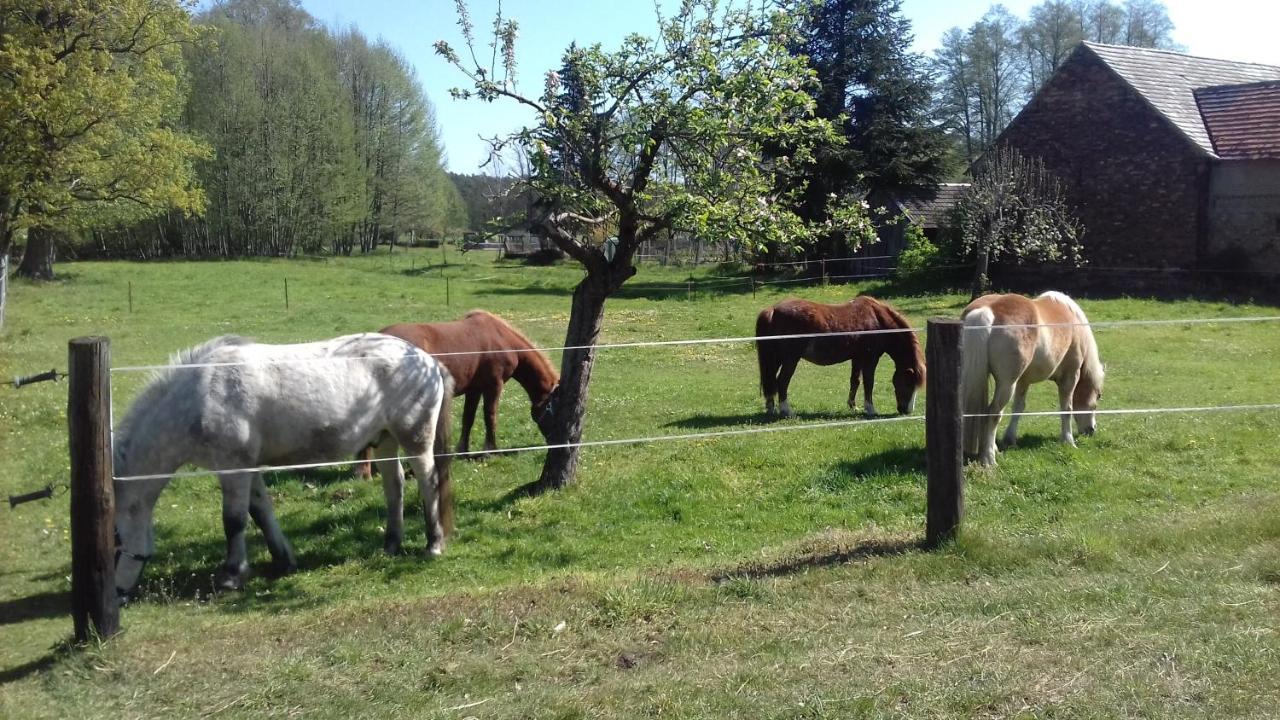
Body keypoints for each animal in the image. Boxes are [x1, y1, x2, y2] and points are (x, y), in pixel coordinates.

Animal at [111, 333, 455, 597]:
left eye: (114, 538)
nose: (117, 593)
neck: (200, 396)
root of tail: (427, 361)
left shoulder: (233, 468)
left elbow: (234, 521)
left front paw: (231, 575)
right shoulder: (247, 469)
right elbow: (261, 512)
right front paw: (283, 560)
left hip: (415, 439)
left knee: (428, 483)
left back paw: (434, 544)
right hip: (384, 441)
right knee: (395, 485)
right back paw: (391, 544)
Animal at [752, 292, 926, 415]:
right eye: (908, 383)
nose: (907, 411)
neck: (878, 319)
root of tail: (773, 310)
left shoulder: (857, 358)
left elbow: (855, 381)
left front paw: (853, 406)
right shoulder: (870, 358)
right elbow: (869, 382)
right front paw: (870, 409)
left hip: (776, 358)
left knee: (771, 381)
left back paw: (771, 408)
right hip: (790, 359)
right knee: (782, 381)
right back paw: (786, 411)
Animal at [962, 289, 1105, 466]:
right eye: (1098, 396)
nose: (1091, 430)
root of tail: (987, 310)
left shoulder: (1023, 381)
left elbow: (1018, 408)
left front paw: (1010, 440)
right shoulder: (1071, 376)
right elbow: (1067, 408)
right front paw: (1068, 440)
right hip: (1007, 384)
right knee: (993, 413)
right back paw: (989, 459)